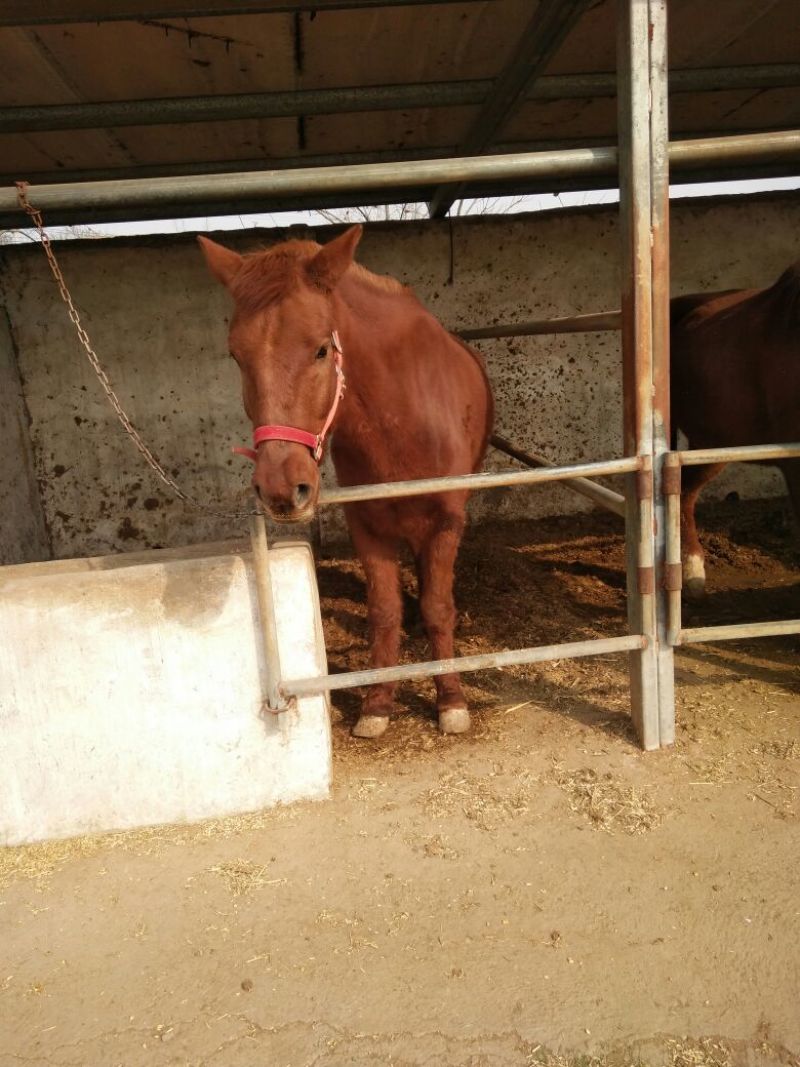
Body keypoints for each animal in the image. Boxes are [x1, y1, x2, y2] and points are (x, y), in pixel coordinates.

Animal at [199, 224, 494, 737]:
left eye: (321, 348)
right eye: (236, 355)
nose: (282, 487)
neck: (405, 416)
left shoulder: (447, 519)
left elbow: (439, 607)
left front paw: (451, 700)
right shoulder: (366, 522)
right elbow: (384, 611)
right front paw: (377, 704)